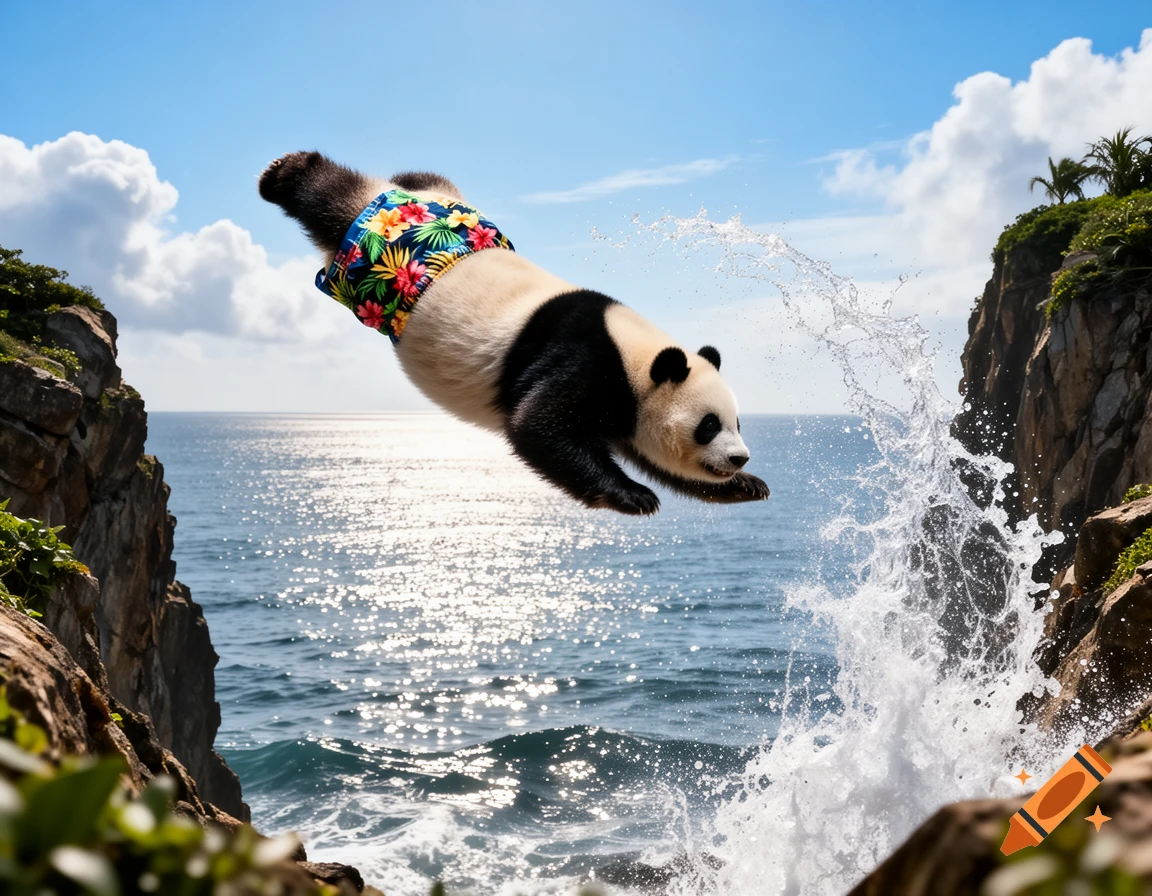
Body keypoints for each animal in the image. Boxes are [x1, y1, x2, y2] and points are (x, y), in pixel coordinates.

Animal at [259, 151, 769, 515]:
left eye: (737, 423)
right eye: (709, 425)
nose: (739, 457)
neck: (635, 356)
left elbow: (661, 461)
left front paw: (749, 486)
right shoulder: (583, 359)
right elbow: (539, 427)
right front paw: (634, 496)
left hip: (450, 205)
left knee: (419, 175)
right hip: (376, 248)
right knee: (330, 198)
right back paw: (283, 173)